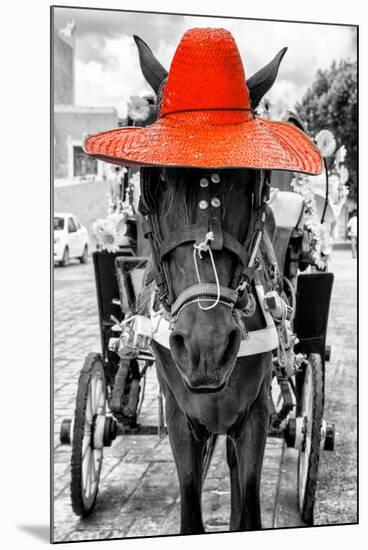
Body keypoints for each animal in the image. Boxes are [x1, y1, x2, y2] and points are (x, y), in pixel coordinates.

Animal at [132, 34, 288, 536]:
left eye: (252, 182)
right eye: (153, 180)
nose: (207, 346)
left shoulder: (255, 414)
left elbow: (248, 509)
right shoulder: (181, 418)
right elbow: (190, 511)